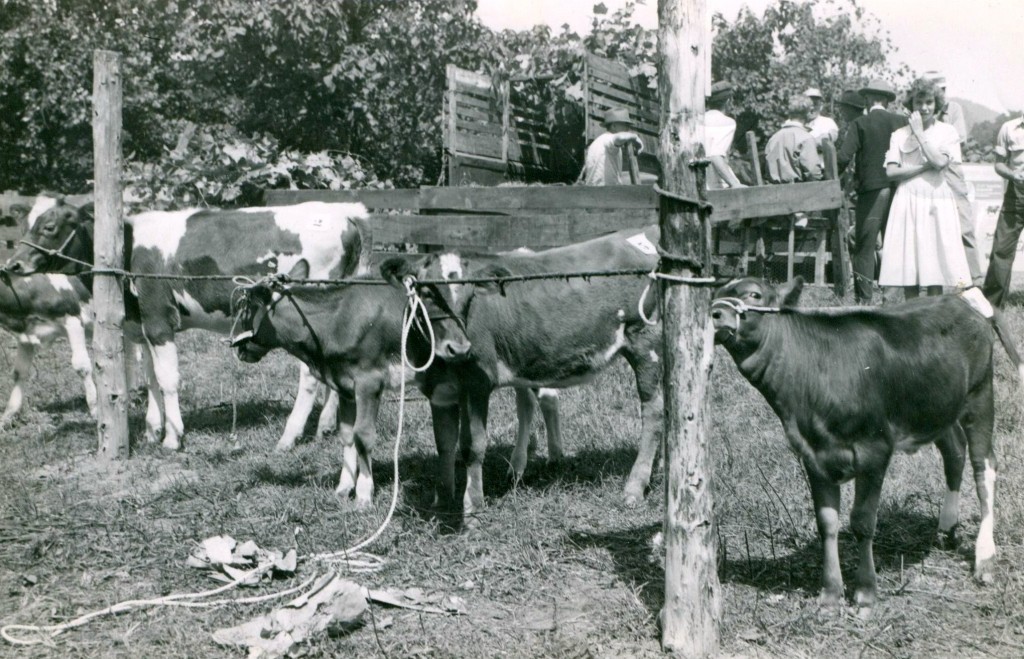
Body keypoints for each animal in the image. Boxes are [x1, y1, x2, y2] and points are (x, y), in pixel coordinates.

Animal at [0, 272, 95, 427]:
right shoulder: (27, 336)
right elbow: (19, 372)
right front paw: (6, 418)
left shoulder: (73, 319)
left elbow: (82, 366)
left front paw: (96, 410)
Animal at [407, 226, 663, 515]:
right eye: (426, 292)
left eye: (470, 293)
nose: (458, 347)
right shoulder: (442, 388)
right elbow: (448, 443)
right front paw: (443, 500)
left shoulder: (478, 381)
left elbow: (473, 444)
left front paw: (472, 505)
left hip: (645, 341)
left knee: (654, 411)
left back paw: (635, 487)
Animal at [712, 278, 1024, 605]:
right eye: (715, 295)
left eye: (754, 294)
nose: (715, 313)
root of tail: (961, 298)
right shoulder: (812, 455)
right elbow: (827, 522)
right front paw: (830, 593)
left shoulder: (875, 450)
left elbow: (862, 521)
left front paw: (865, 592)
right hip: (937, 408)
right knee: (954, 451)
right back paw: (947, 527)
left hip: (979, 395)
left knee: (984, 466)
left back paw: (984, 558)